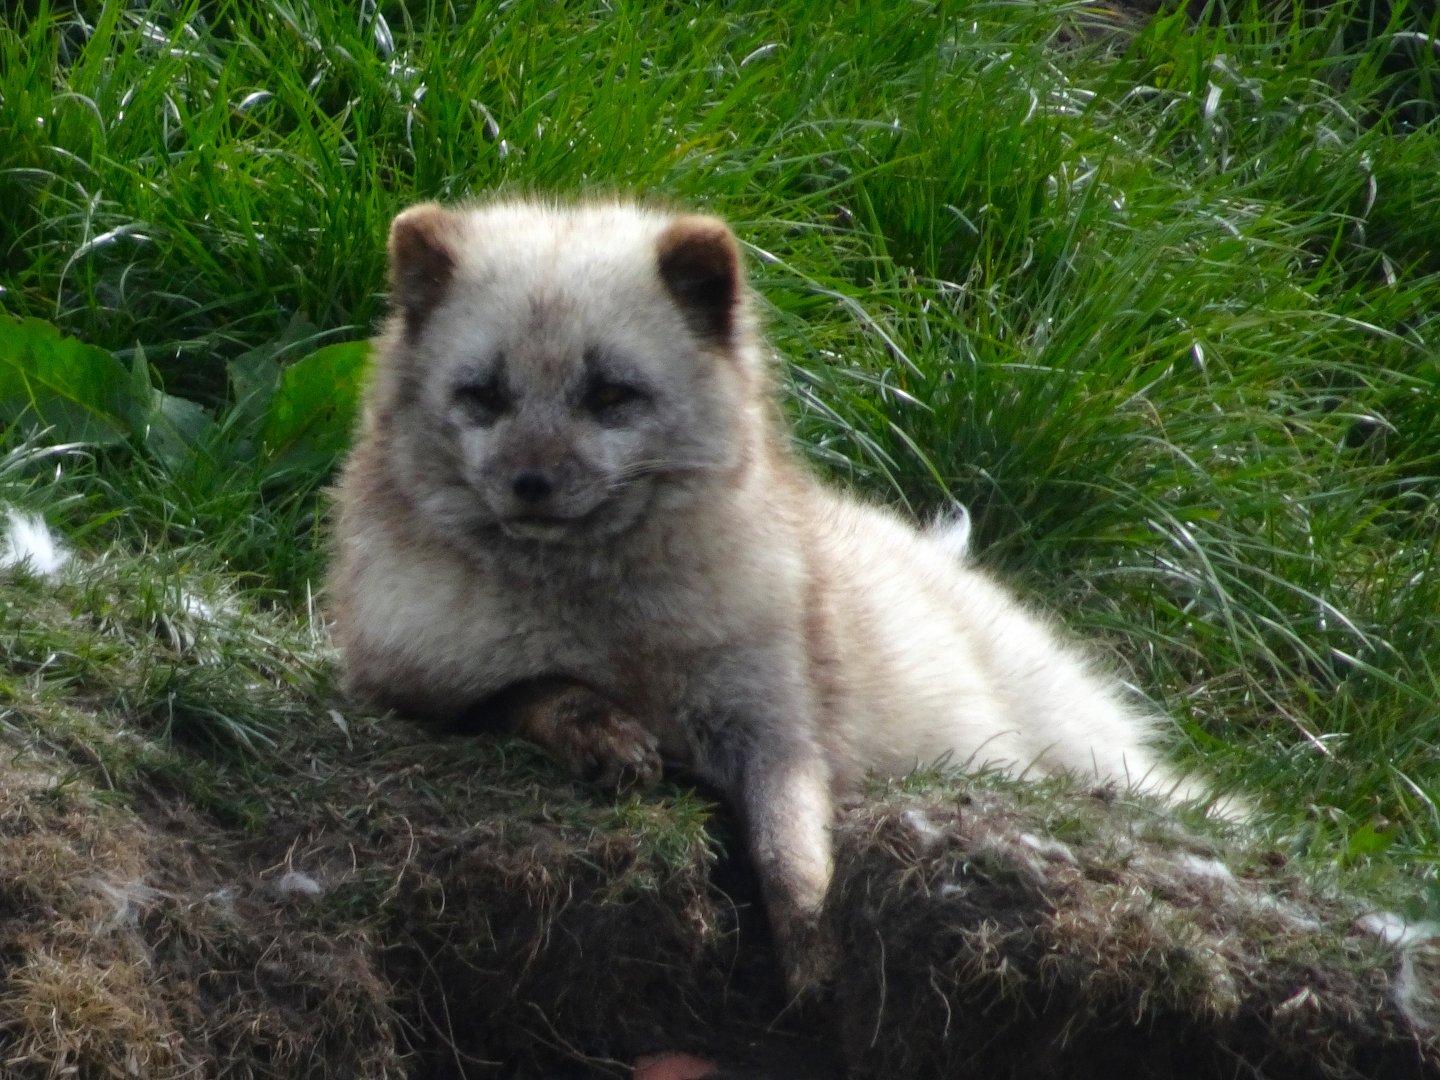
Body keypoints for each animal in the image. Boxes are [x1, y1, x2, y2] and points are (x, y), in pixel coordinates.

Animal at [327, 197, 1216, 994]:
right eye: (483, 394)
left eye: (610, 394)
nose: (531, 485)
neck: (610, 629)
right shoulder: (412, 690)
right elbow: (532, 690)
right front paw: (600, 731)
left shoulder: (774, 719)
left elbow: (793, 852)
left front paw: (814, 955)